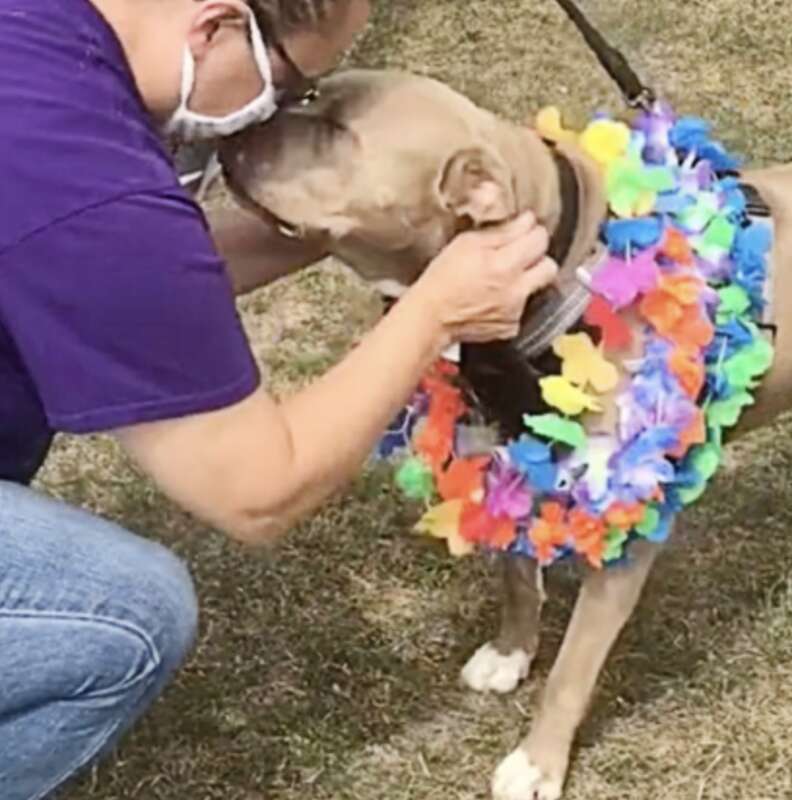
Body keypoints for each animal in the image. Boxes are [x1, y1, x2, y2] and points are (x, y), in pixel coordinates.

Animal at [215, 70, 792, 800]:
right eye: (311, 94)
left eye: (337, 128)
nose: (232, 134)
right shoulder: (504, 466)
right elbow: (517, 579)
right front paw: (511, 653)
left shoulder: (624, 528)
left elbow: (573, 670)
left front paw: (538, 762)